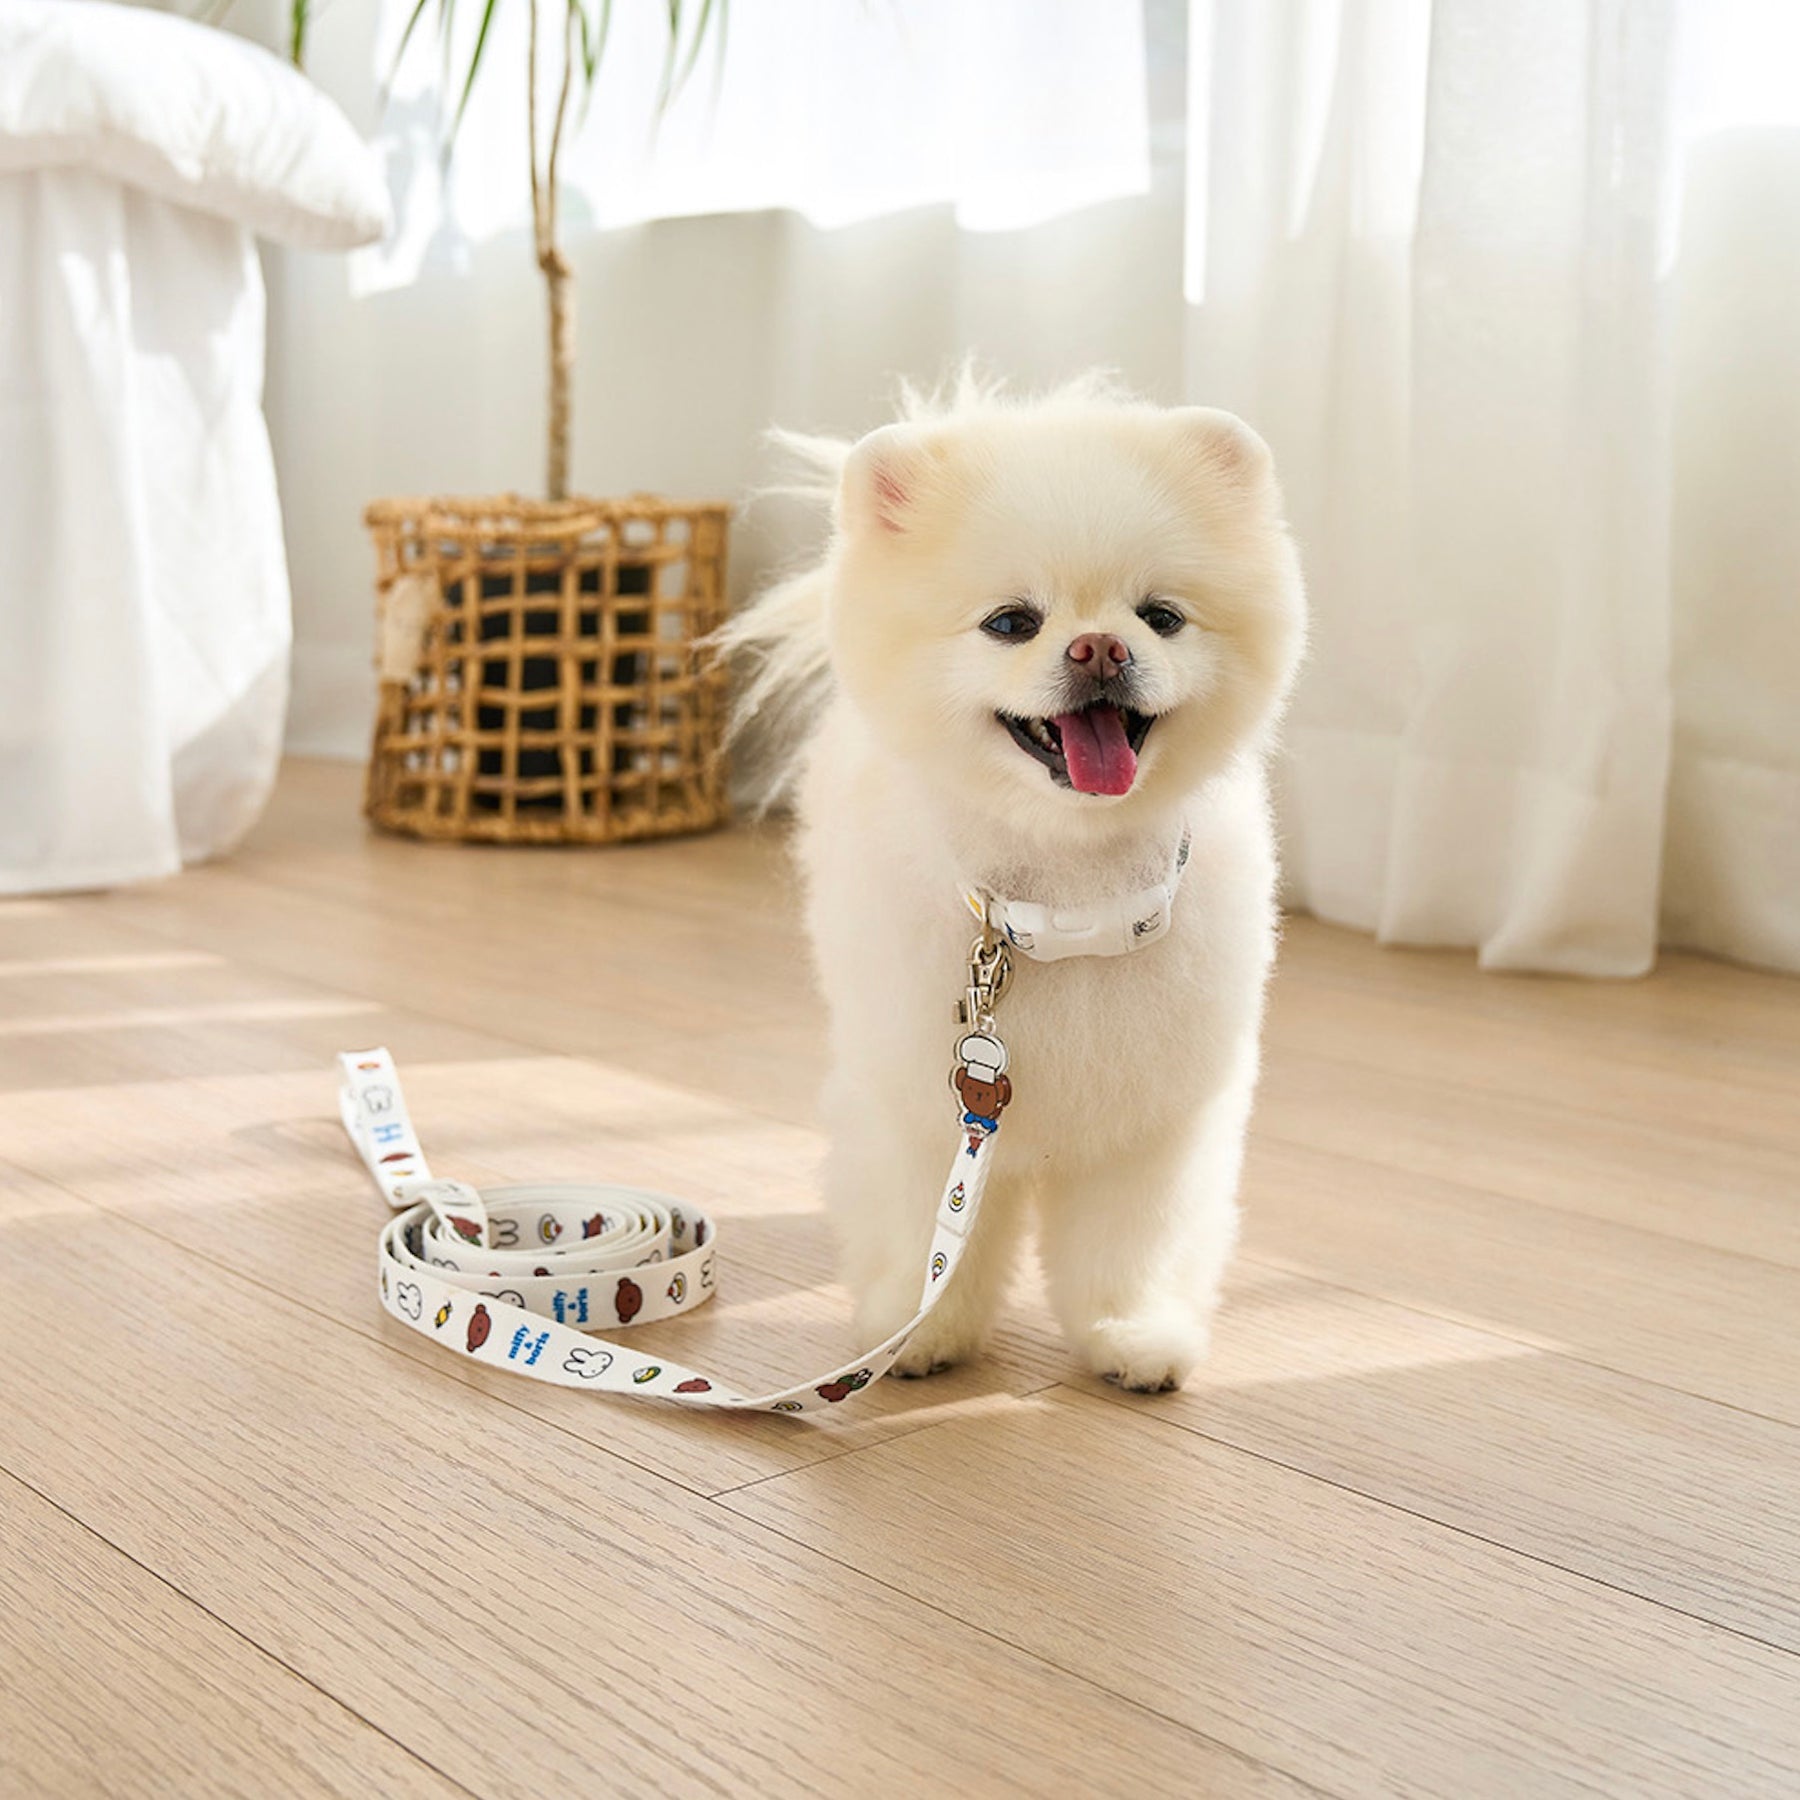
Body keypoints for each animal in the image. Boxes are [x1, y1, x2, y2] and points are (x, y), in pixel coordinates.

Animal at [726, 374, 1306, 1391]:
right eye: (1012, 624)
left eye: (1160, 616)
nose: (1099, 648)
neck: (1070, 905)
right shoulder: (926, 1105)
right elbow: (928, 1222)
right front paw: (916, 1331)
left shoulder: (1154, 1117)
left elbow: (1132, 1241)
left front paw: (1131, 1331)